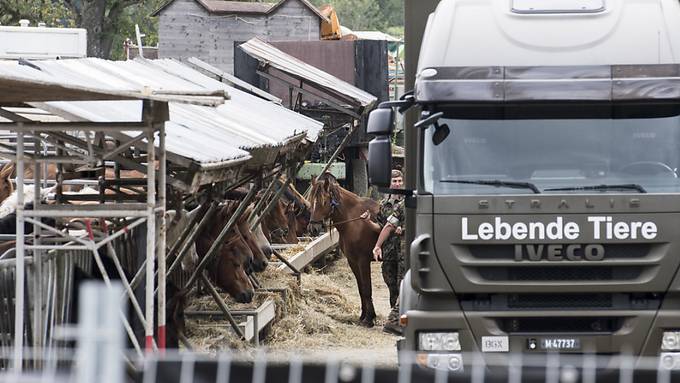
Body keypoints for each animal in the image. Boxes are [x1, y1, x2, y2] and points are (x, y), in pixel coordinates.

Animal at [308, 174, 382, 328]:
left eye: (324, 202)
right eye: (311, 200)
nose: (313, 229)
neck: (355, 221)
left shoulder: (363, 261)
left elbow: (367, 288)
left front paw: (370, 318)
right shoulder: (352, 261)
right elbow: (361, 289)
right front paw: (363, 315)